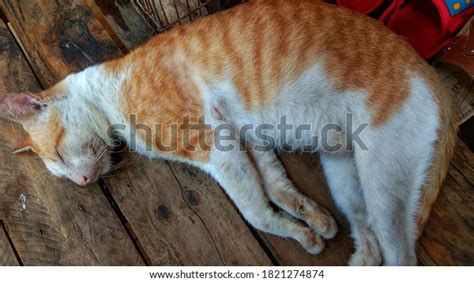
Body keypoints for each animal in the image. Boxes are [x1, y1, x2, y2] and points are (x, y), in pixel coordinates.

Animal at [0, 0, 460, 266]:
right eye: (61, 174)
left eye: (59, 154)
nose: (81, 181)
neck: (108, 90)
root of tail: (432, 77)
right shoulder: (240, 136)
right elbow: (276, 187)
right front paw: (311, 220)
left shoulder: (215, 147)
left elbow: (255, 210)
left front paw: (297, 232)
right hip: (345, 175)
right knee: (369, 241)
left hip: (384, 186)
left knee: (400, 255)